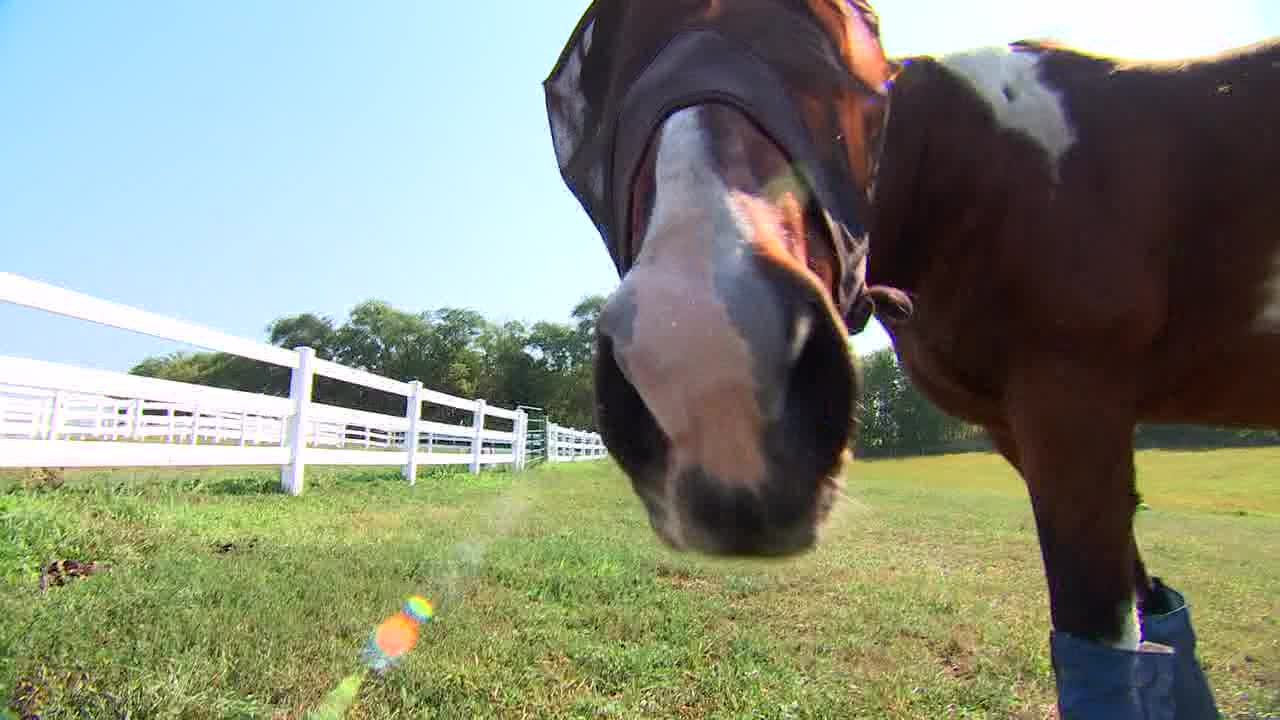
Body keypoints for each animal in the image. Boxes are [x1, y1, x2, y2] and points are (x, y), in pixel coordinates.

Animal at [543, 1, 1280, 717]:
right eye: (581, 94)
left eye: (834, 46)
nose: (703, 358)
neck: (985, 175)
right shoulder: (1024, 431)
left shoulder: (1074, 405)